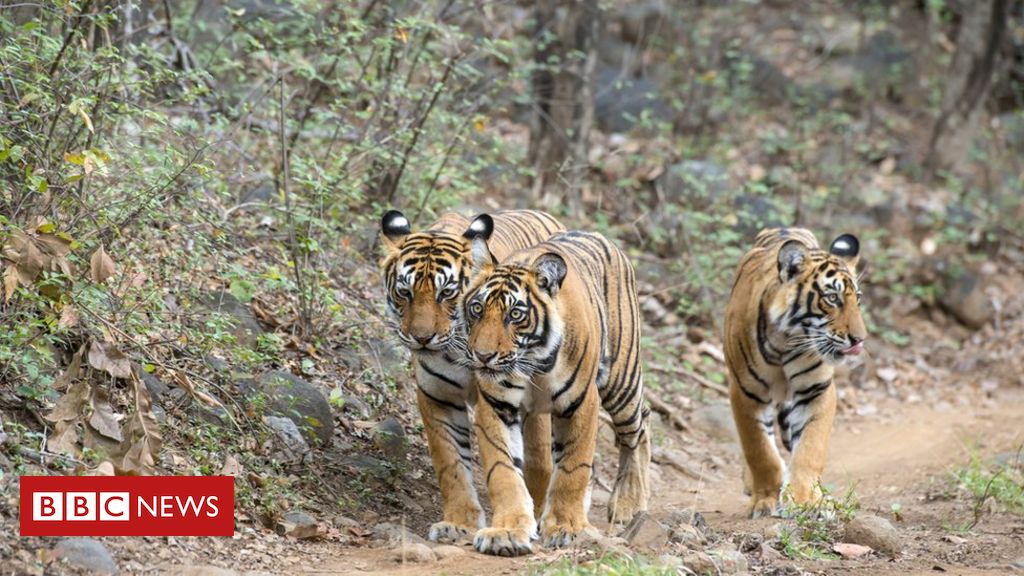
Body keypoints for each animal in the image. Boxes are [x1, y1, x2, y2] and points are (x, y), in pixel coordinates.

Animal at [378, 207, 565, 541]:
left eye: (446, 293)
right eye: (404, 292)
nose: (421, 338)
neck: (456, 351)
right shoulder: (438, 397)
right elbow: (450, 463)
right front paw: (459, 523)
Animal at [460, 213, 651, 553]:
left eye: (515, 314)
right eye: (477, 309)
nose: (482, 356)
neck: (533, 362)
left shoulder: (582, 402)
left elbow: (573, 468)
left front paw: (566, 527)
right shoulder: (497, 406)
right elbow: (503, 470)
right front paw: (506, 531)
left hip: (622, 382)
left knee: (639, 429)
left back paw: (629, 504)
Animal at [724, 225, 868, 516]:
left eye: (857, 299)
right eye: (832, 298)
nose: (860, 340)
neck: (784, 341)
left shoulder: (816, 390)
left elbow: (809, 449)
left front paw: (805, 500)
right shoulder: (745, 393)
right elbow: (760, 451)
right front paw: (765, 500)